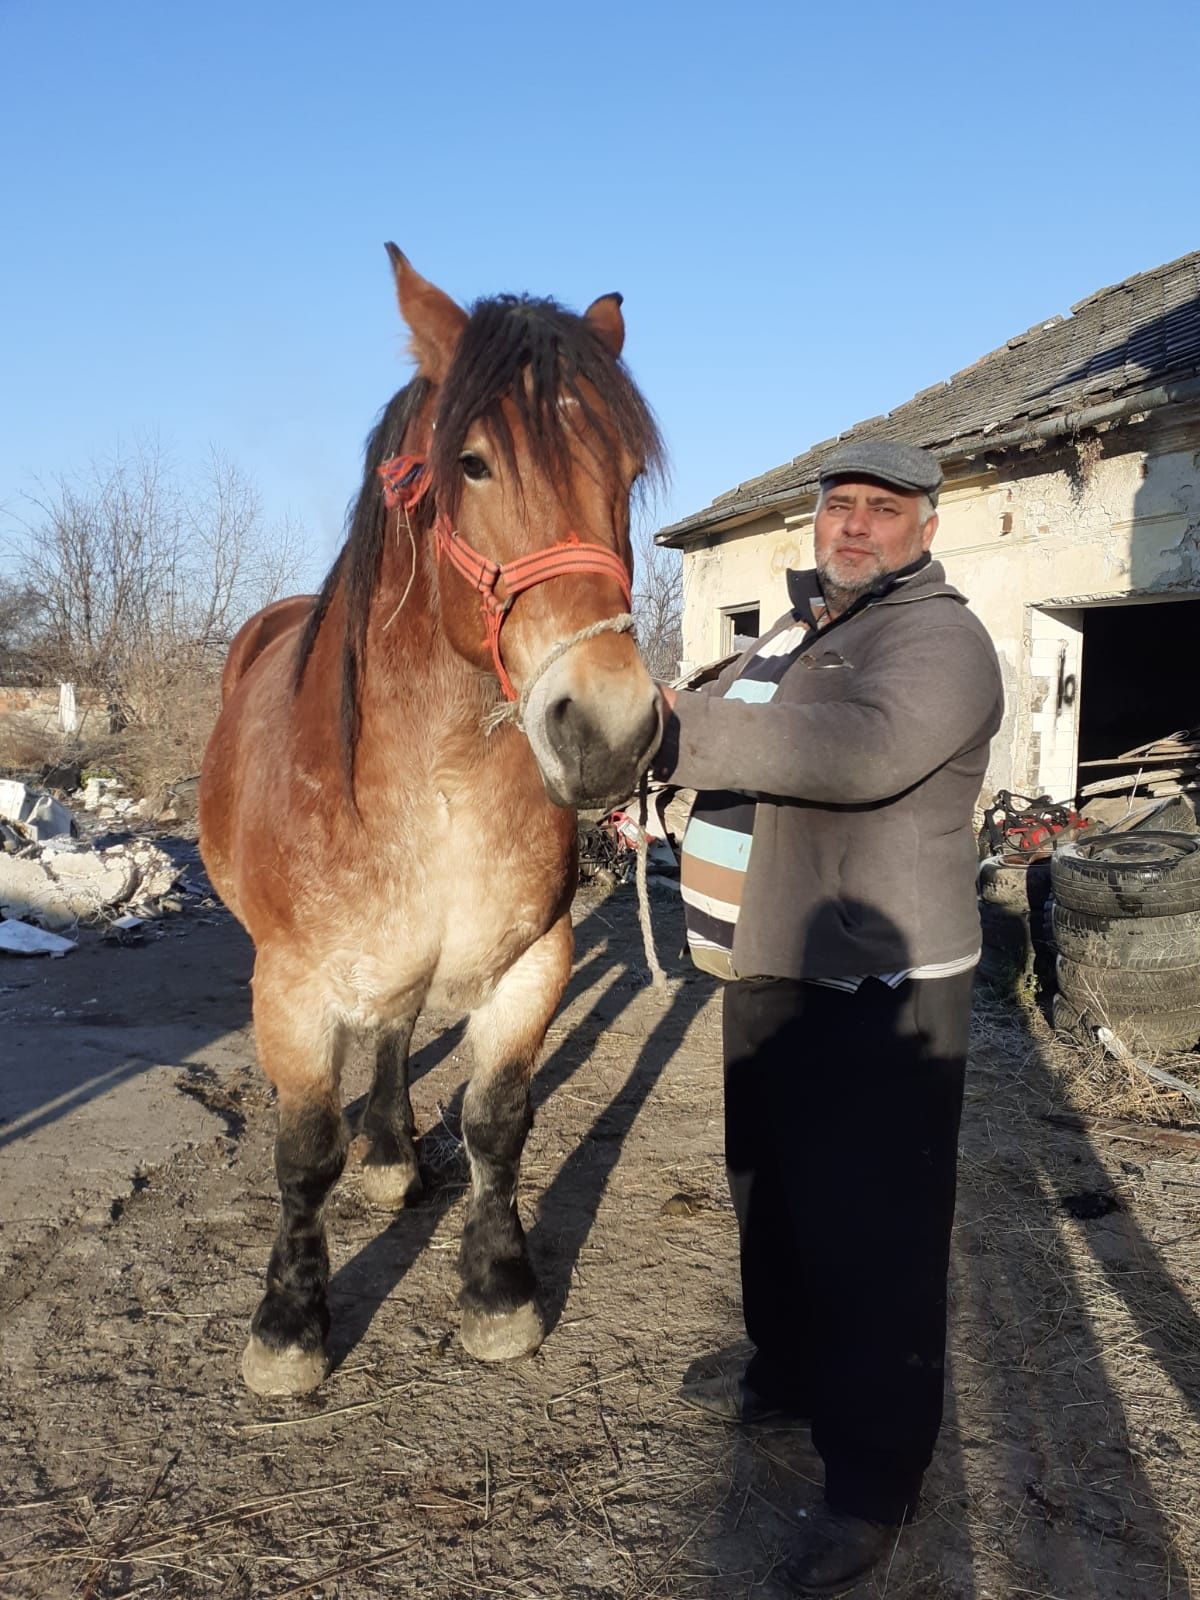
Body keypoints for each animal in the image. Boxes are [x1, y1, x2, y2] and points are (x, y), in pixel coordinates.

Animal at [198, 243, 668, 1395]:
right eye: (474, 462)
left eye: (628, 472)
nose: (612, 729)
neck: (437, 776)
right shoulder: (293, 990)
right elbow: (301, 1154)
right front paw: (289, 1325)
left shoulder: (533, 962)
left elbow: (496, 1121)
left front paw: (499, 1290)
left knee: (401, 1032)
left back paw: (391, 1147)